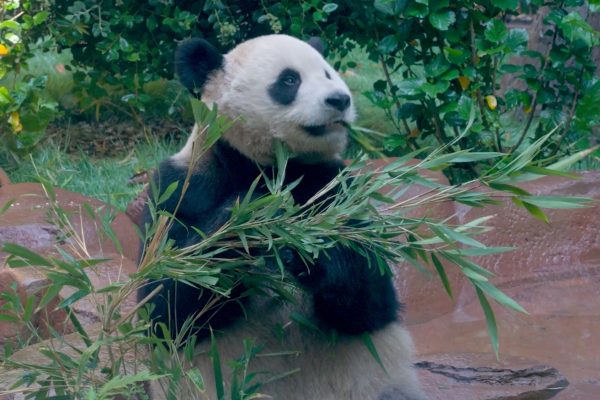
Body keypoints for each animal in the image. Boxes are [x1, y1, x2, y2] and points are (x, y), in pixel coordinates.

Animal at [138, 34, 424, 400]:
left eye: (328, 72)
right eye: (289, 80)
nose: (340, 99)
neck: (271, 167)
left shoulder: (336, 187)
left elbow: (371, 303)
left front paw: (310, 249)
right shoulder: (182, 189)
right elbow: (165, 309)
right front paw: (256, 217)